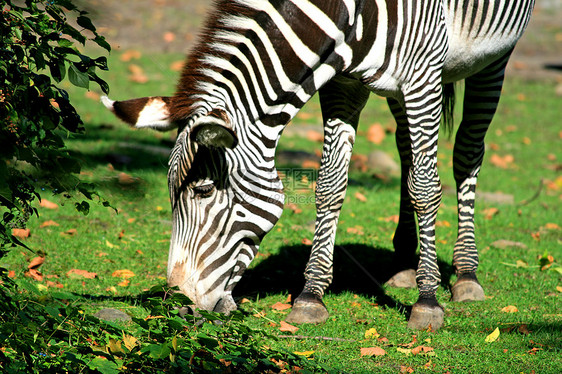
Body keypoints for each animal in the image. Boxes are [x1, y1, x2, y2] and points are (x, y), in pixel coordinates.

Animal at [101, 0, 532, 328]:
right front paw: (311, 296)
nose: (177, 304)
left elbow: (426, 189)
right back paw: (404, 264)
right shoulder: (344, 83)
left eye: (204, 190)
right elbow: (330, 184)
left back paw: (465, 274)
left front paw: (428, 302)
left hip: (494, 58)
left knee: (467, 152)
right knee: (407, 150)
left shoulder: (422, 78)